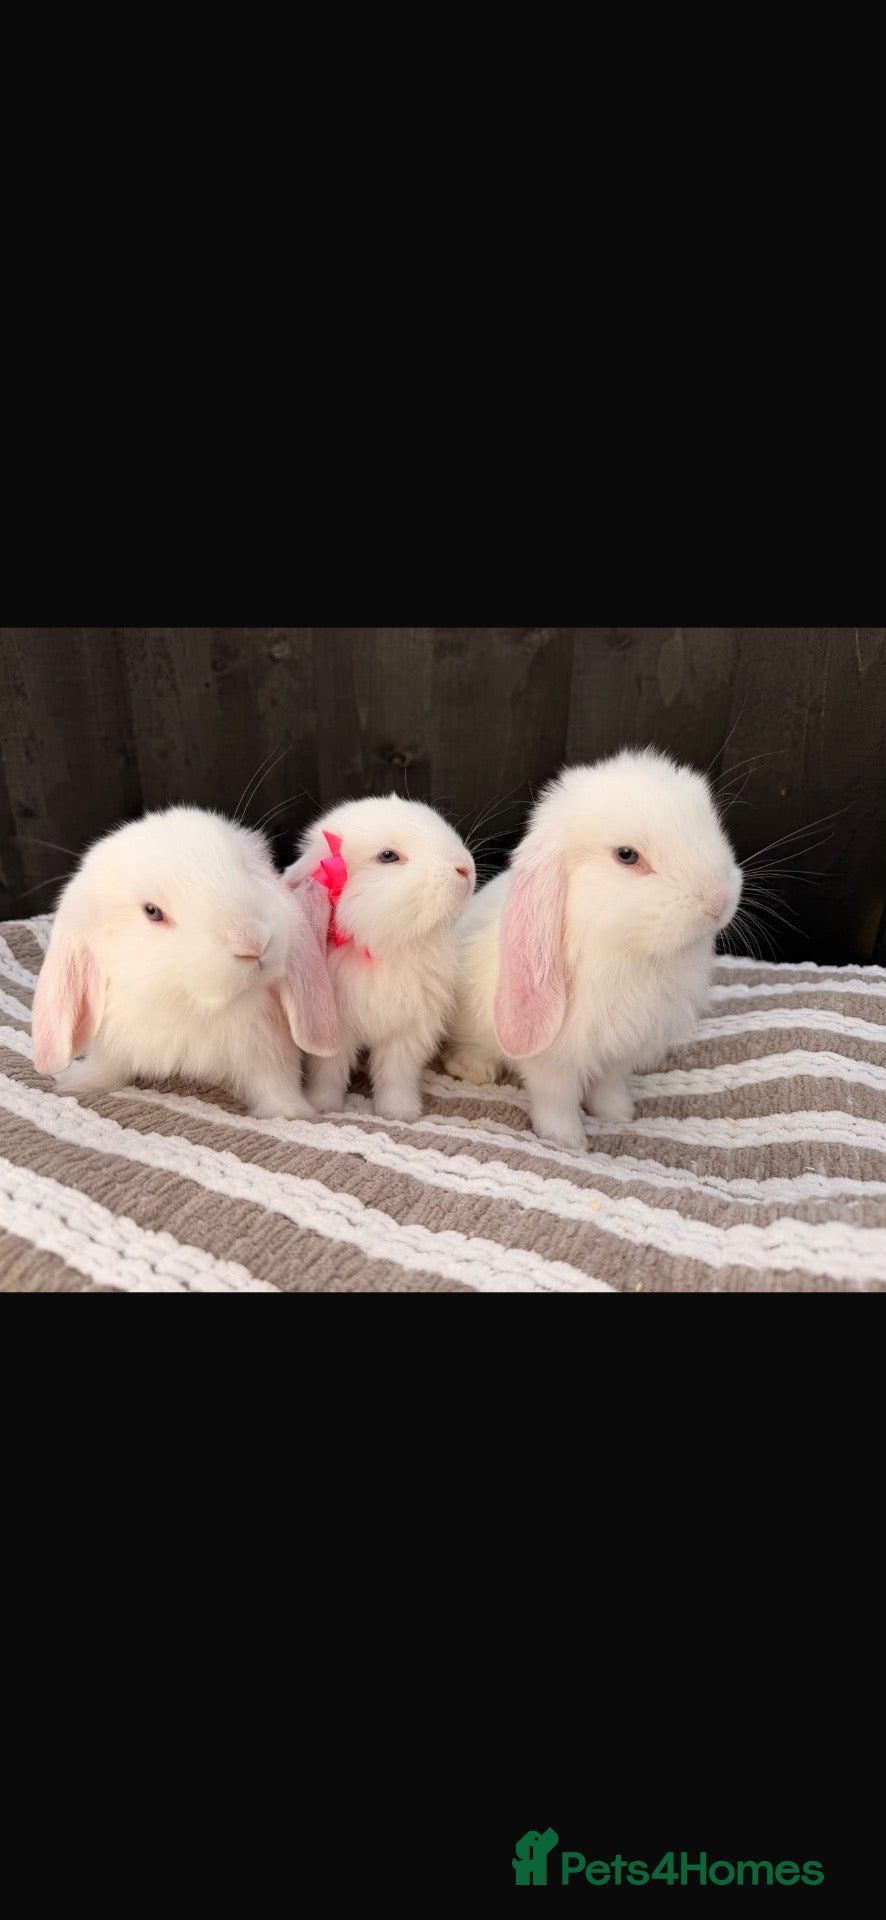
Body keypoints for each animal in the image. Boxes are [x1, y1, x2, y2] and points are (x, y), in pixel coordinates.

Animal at [31, 806, 340, 1117]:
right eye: (152, 911)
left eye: (247, 871)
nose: (254, 942)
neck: (192, 1006)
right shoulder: (114, 1042)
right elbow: (107, 1068)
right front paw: (78, 1083)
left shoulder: (269, 1052)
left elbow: (274, 1085)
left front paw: (290, 1112)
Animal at [283, 794, 475, 1122]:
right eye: (387, 856)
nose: (466, 868)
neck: (382, 947)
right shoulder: (336, 1030)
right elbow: (328, 1072)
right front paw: (324, 1106)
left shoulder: (407, 1033)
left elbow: (396, 1075)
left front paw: (400, 1113)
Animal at [443, 749, 743, 1151]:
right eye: (627, 855)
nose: (719, 901)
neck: (626, 953)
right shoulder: (554, 1061)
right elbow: (556, 1100)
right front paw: (568, 1141)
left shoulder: (621, 1051)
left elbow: (608, 1086)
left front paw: (619, 1115)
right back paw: (473, 1070)